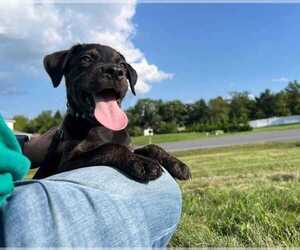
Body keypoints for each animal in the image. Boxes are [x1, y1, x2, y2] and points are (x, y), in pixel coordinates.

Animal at [31, 43, 191, 182]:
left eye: (122, 65)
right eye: (86, 59)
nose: (115, 71)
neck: (102, 126)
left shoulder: (131, 147)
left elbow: (150, 147)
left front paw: (176, 163)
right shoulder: (67, 163)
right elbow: (109, 147)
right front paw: (143, 163)